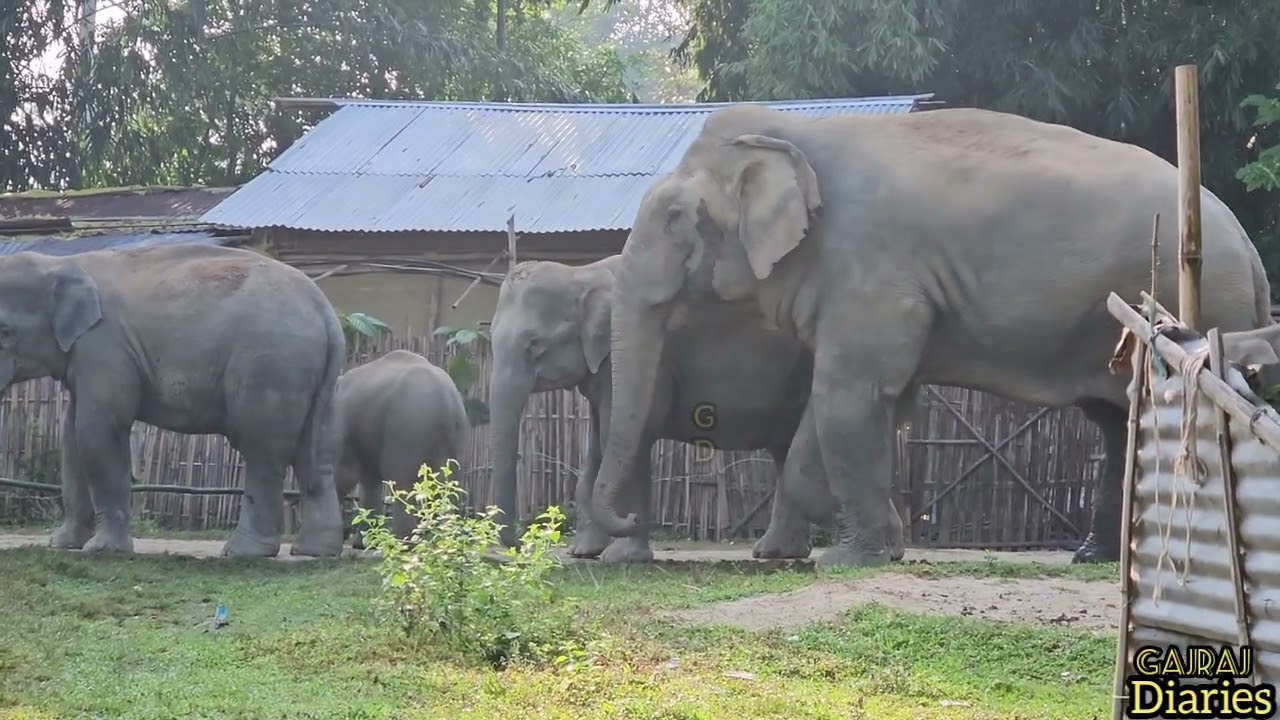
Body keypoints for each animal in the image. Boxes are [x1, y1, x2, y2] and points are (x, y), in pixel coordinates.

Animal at [0, 244, 347, 557]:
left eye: (3, 331)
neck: (64, 262)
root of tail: (328, 314)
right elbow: (72, 437)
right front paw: (62, 545)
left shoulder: (106, 346)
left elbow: (97, 430)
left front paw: (102, 550)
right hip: (312, 380)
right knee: (315, 454)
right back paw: (314, 551)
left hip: (271, 365)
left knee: (262, 451)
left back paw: (243, 552)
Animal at [335, 349, 470, 547]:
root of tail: (445, 399)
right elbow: (369, 478)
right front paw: (363, 544)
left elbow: (347, 472)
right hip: (455, 432)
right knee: (447, 483)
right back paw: (440, 540)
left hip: (406, 426)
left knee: (400, 477)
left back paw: (403, 542)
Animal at [487, 256, 911, 563]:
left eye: (534, 345)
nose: (520, 545)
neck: (581, 273)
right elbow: (596, 449)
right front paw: (585, 552)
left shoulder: (644, 361)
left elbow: (628, 437)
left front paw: (621, 556)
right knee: (786, 452)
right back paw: (785, 552)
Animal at [589, 104, 1272, 569]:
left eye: (677, 217)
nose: (627, 520)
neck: (796, 134)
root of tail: (1247, 243)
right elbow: (881, 403)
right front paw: (884, 543)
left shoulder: (870, 268)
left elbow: (847, 397)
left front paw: (849, 558)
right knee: (1113, 420)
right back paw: (1092, 557)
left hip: (1198, 301)